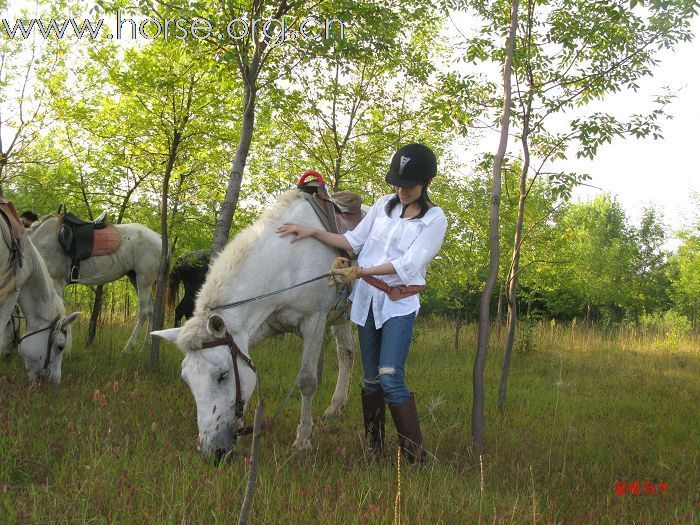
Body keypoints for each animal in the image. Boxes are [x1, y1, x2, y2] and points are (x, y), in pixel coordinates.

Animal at [29, 215, 161, 354]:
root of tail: (159, 237)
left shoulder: (56, 282)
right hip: (136, 279)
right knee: (151, 310)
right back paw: (147, 344)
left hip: (144, 280)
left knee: (143, 312)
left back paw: (128, 347)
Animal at [154, 190, 358, 456]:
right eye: (186, 379)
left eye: (222, 375)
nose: (212, 451)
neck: (289, 260)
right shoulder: (254, 328)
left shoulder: (314, 322)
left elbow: (307, 381)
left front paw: (303, 440)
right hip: (341, 316)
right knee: (347, 353)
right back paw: (335, 408)